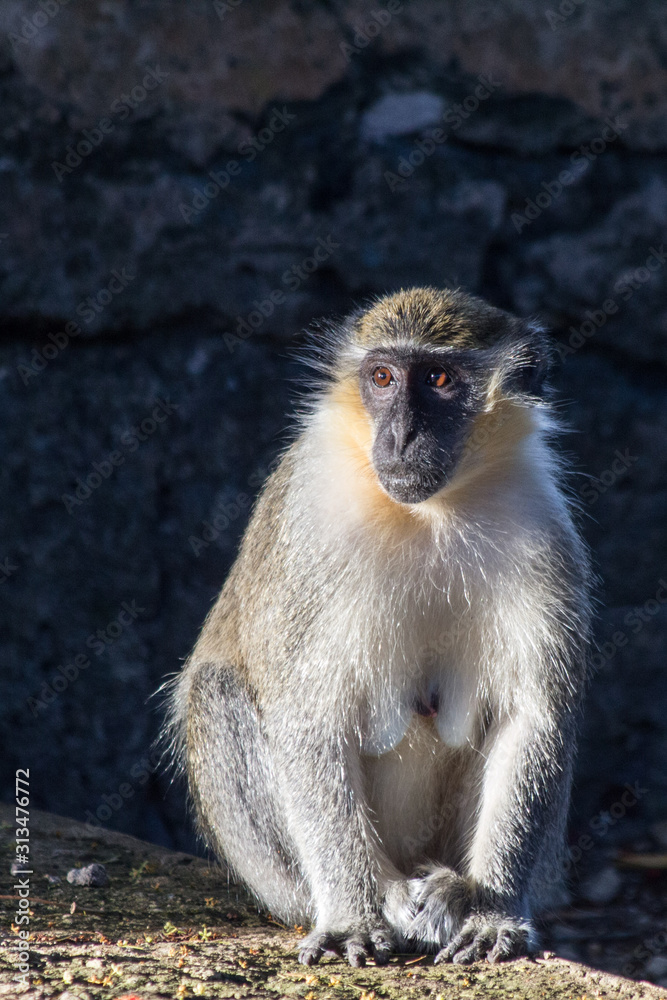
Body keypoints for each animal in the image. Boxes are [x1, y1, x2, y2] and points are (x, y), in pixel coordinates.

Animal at [164, 287, 592, 968]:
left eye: (439, 379)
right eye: (383, 377)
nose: (400, 435)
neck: (429, 514)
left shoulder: (539, 528)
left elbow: (533, 718)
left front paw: (492, 911)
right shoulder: (311, 523)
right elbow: (310, 718)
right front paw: (351, 917)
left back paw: (448, 888)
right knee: (217, 691)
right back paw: (387, 893)